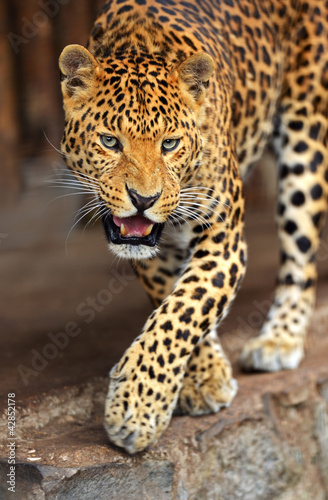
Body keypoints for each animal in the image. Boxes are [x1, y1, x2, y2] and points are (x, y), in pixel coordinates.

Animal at [59, 0, 328, 454]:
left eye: (169, 144)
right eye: (110, 142)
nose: (144, 200)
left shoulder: (225, 238)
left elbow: (185, 309)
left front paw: (135, 407)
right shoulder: (155, 252)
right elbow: (175, 303)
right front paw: (204, 377)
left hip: (305, 137)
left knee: (301, 252)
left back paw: (280, 339)